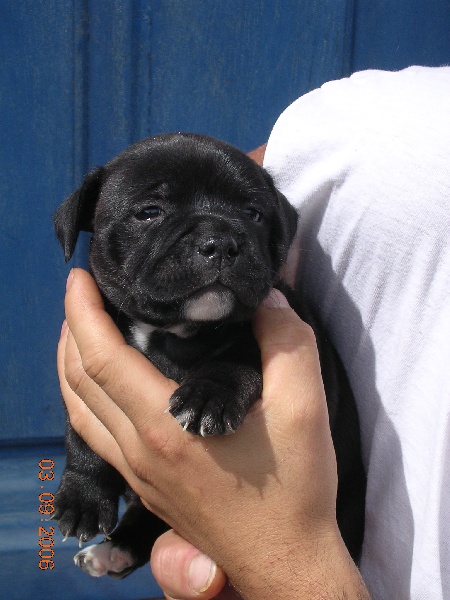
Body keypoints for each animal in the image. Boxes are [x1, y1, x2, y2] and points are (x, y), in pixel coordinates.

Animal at [53, 133, 366, 578]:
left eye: (253, 214)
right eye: (149, 212)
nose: (221, 241)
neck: (173, 332)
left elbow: (234, 362)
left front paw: (207, 398)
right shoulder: (83, 373)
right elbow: (82, 433)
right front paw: (82, 497)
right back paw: (113, 549)